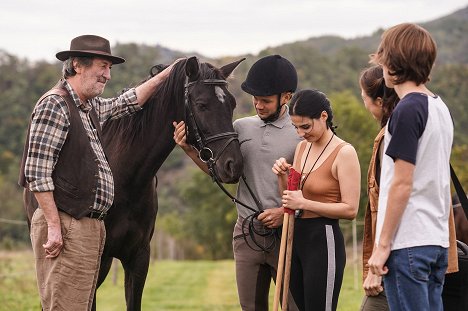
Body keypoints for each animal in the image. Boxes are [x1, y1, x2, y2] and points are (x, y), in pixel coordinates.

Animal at [25, 56, 245, 311]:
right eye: (201, 105)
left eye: (232, 104)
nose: (233, 165)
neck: (127, 181)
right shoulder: (95, 261)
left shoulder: (138, 259)